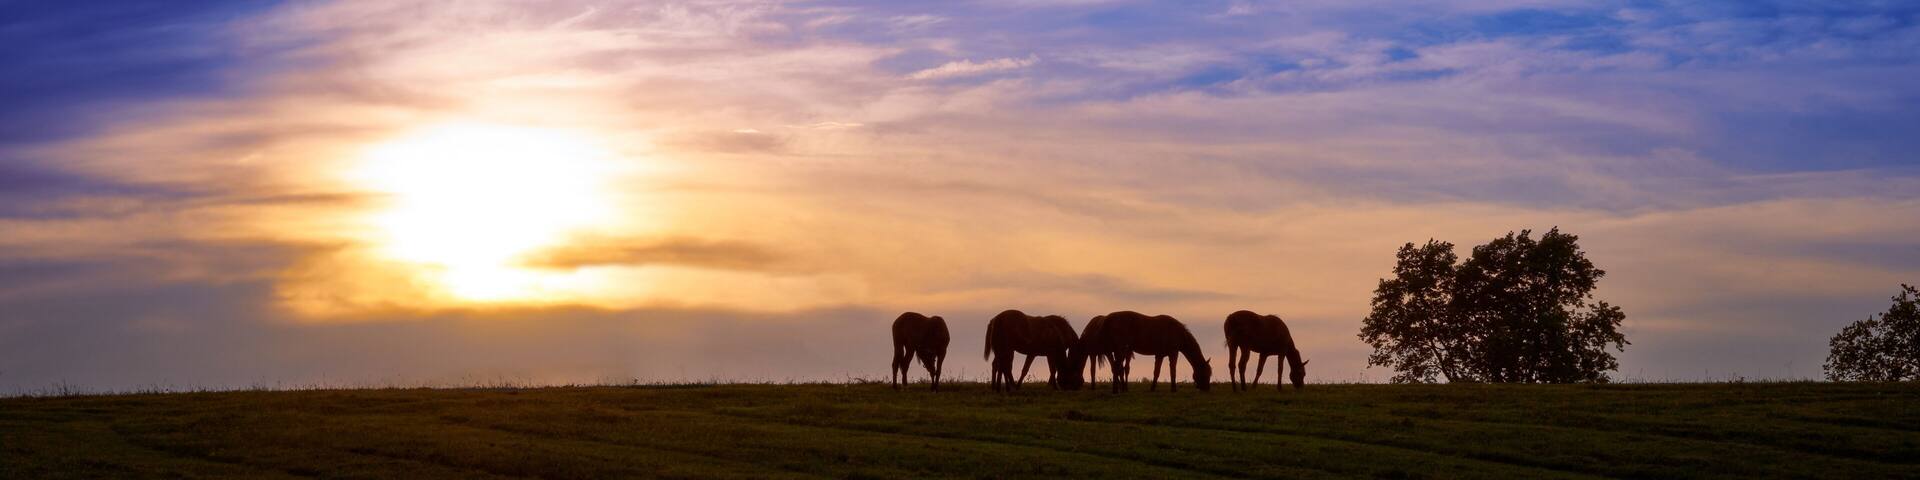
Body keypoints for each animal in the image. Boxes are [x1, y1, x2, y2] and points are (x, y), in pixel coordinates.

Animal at [1064, 311, 1210, 392]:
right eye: (1207, 372)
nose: (1207, 388)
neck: (1178, 332)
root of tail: (1106, 319)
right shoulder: (1173, 353)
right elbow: (1172, 371)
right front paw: (1173, 389)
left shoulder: (1160, 355)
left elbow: (1156, 372)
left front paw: (1152, 388)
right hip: (1118, 350)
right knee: (1117, 367)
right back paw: (1116, 390)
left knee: (1117, 368)